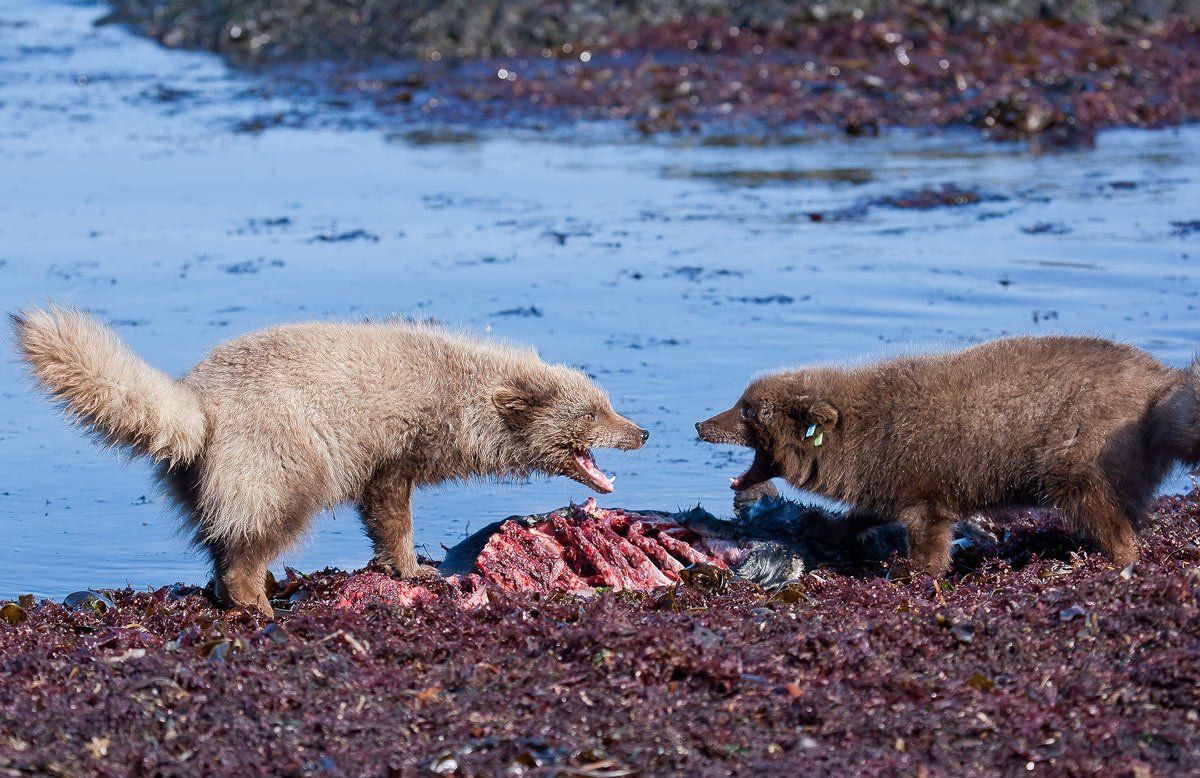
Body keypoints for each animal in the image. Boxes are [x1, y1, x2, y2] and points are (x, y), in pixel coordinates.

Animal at [11, 304, 648, 614]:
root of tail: (197, 406)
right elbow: (392, 516)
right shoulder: (391, 450)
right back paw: (258, 605)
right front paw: (416, 568)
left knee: (220, 538)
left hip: (206, 480)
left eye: (608, 402)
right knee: (254, 539)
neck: (461, 398)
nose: (641, 431)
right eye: (592, 412)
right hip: (281, 461)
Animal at [696, 336, 1200, 576]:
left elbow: (929, 537)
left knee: (1111, 521)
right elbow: (866, 513)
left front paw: (915, 570)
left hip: (1084, 458)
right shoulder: (885, 477)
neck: (860, 437)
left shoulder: (923, 488)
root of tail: (1162, 385)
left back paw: (1113, 561)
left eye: (746, 409)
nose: (700, 424)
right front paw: (823, 525)